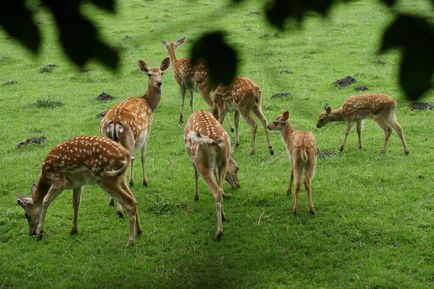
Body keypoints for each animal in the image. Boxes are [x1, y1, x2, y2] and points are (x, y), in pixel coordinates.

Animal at [183, 109, 241, 238]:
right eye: (237, 168)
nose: (238, 185)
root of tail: (214, 140)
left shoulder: (193, 160)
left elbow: (195, 175)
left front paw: (196, 196)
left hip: (201, 162)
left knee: (216, 191)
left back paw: (219, 232)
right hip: (222, 163)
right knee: (219, 188)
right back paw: (224, 216)